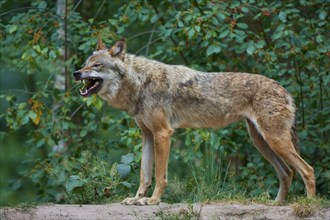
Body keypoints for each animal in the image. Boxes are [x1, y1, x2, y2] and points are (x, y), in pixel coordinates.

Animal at [73, 37, 316, 205]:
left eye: (96, 66)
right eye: (85, 63)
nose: (76, 73)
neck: (140, 83)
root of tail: (285, 90)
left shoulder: (163, 133)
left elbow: (159, 175)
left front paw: (152, 201)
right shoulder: (147, 136)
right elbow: (144, 175)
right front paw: (136, 199)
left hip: (274, 141)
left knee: (307, 170)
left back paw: (310, 203)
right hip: (262, 142)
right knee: (288, 173)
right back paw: (277, 204)